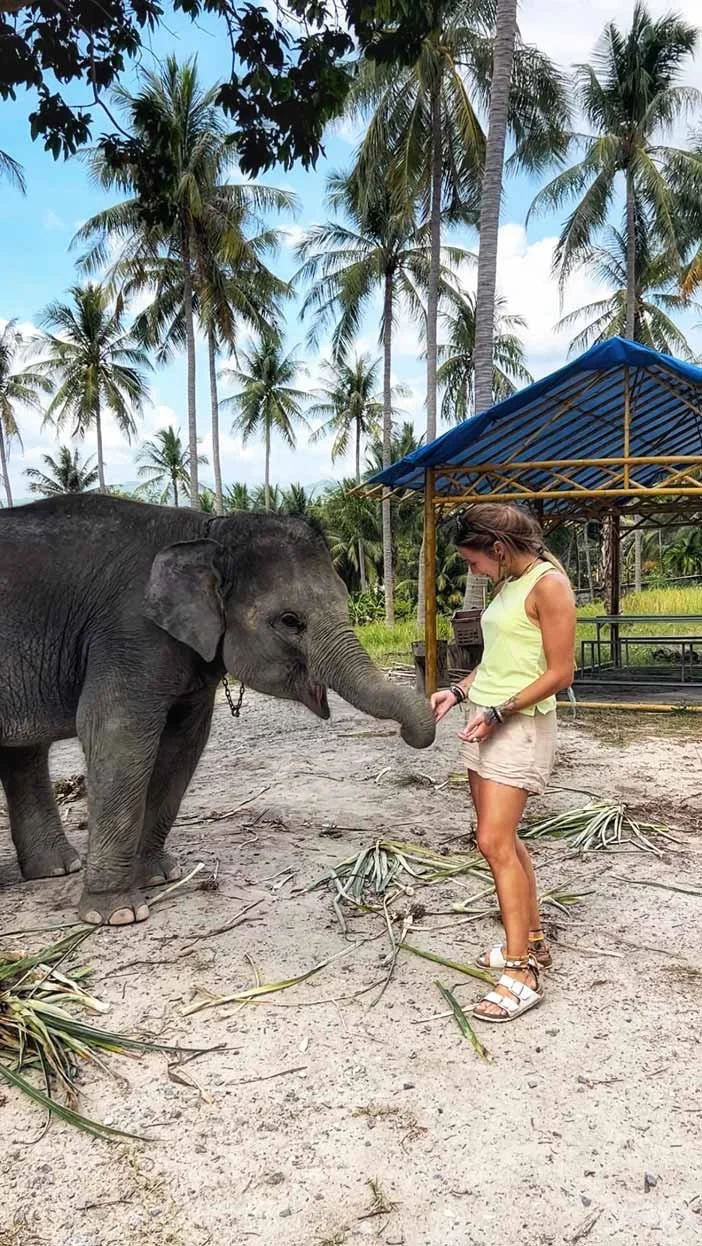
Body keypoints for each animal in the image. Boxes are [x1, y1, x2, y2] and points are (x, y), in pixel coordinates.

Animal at [0, 495, 435, 926]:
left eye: (346, 600)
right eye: (289, 620)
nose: (410, 732)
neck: (209, 529)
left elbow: (183, 743)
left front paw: (159, 876)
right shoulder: (128, 633)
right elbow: (113, 731)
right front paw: (117, 914)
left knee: (24, 754)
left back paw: (57, 868)